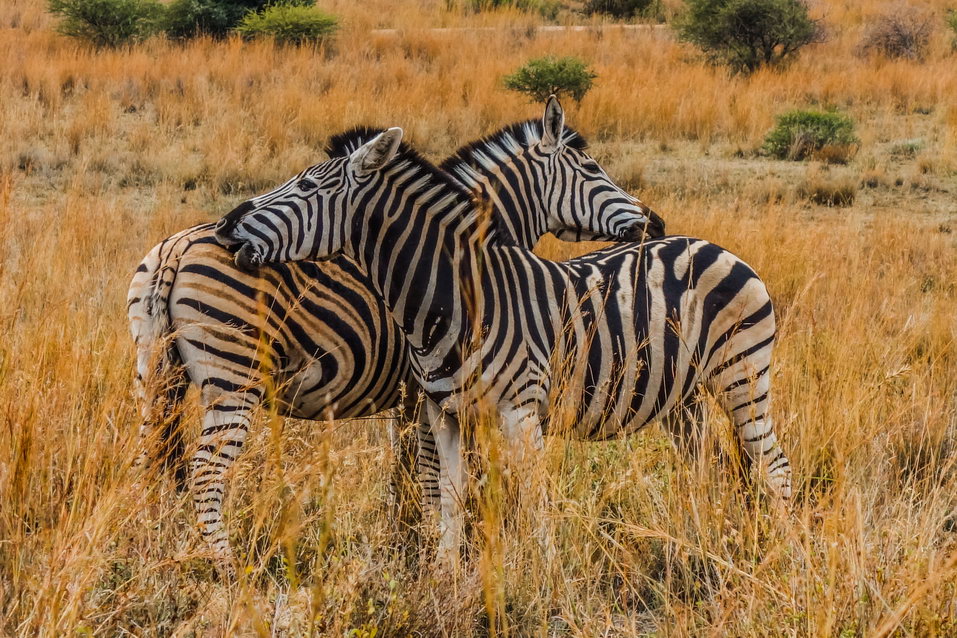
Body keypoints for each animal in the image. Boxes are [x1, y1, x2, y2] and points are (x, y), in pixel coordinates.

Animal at [127, 100, 792, 568]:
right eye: (591, 168)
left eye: (309, 185)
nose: (654, 222)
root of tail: (174, 247)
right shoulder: (429, 402)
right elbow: (438, 481)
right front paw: (437, 554)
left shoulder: (433, 404)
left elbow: (435, 482)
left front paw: (427, 549)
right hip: (226, 380)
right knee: (199, 472)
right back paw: (218, 563)